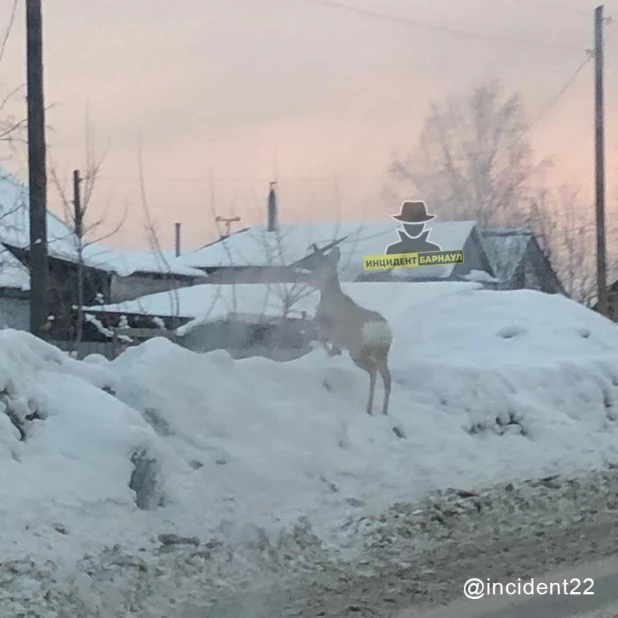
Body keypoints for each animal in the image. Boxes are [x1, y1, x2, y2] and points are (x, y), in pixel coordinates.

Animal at [300, 245, 392, 414]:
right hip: (383, 354)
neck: (330, 295)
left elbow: (323, 343)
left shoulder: (326, 331)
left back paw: (369, 409)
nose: (309, 280)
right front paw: (335, 352)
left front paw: (326, 350)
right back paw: (383, 411)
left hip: (358, 352)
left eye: (316, 267)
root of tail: (380, 331)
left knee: (373, 371)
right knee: (387, 377)